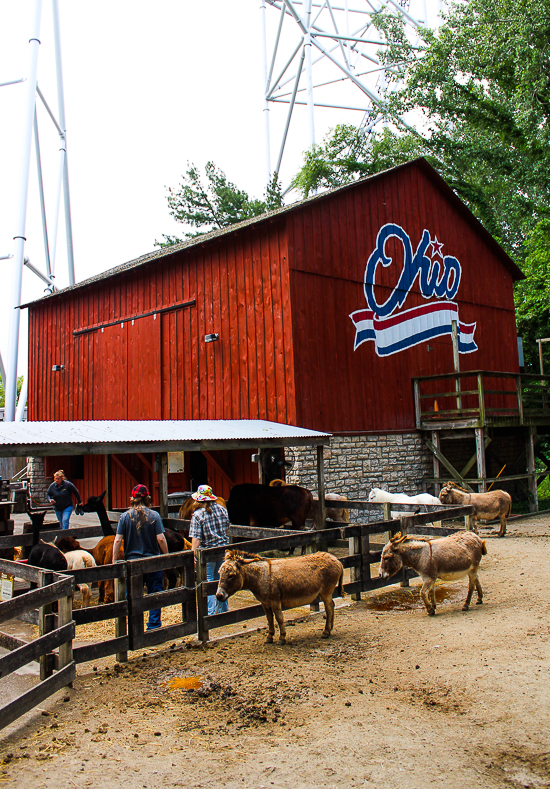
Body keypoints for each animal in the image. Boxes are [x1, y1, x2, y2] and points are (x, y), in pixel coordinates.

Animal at [216, 552, 344, 644]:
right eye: (219, 574)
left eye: (231, 576)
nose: (218, 595)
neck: (261, 576)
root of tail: (336, 559)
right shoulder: (265, 603)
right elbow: (269, 619)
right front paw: (269, 637)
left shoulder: (275, 601)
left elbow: (279, 618)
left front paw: (282, 638)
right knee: (331, 605)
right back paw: (329, 629)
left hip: (326, 591)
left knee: (329, 607)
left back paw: (326, 632)